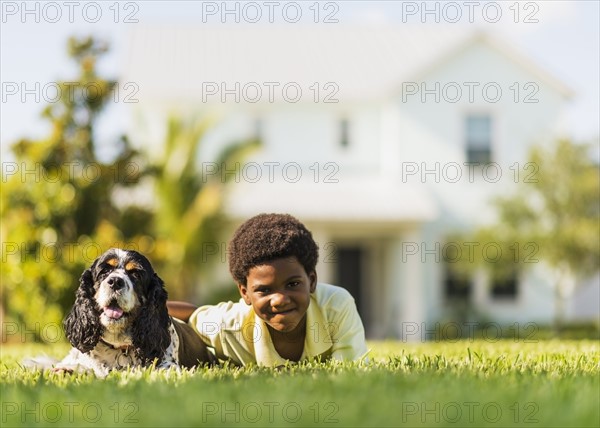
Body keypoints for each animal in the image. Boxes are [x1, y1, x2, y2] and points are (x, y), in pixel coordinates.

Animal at [45, 249, 216, 376]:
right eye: (104, 271)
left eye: (136, 274)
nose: (115, 281)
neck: (119, 346)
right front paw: (68, 370)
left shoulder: (168, 365)